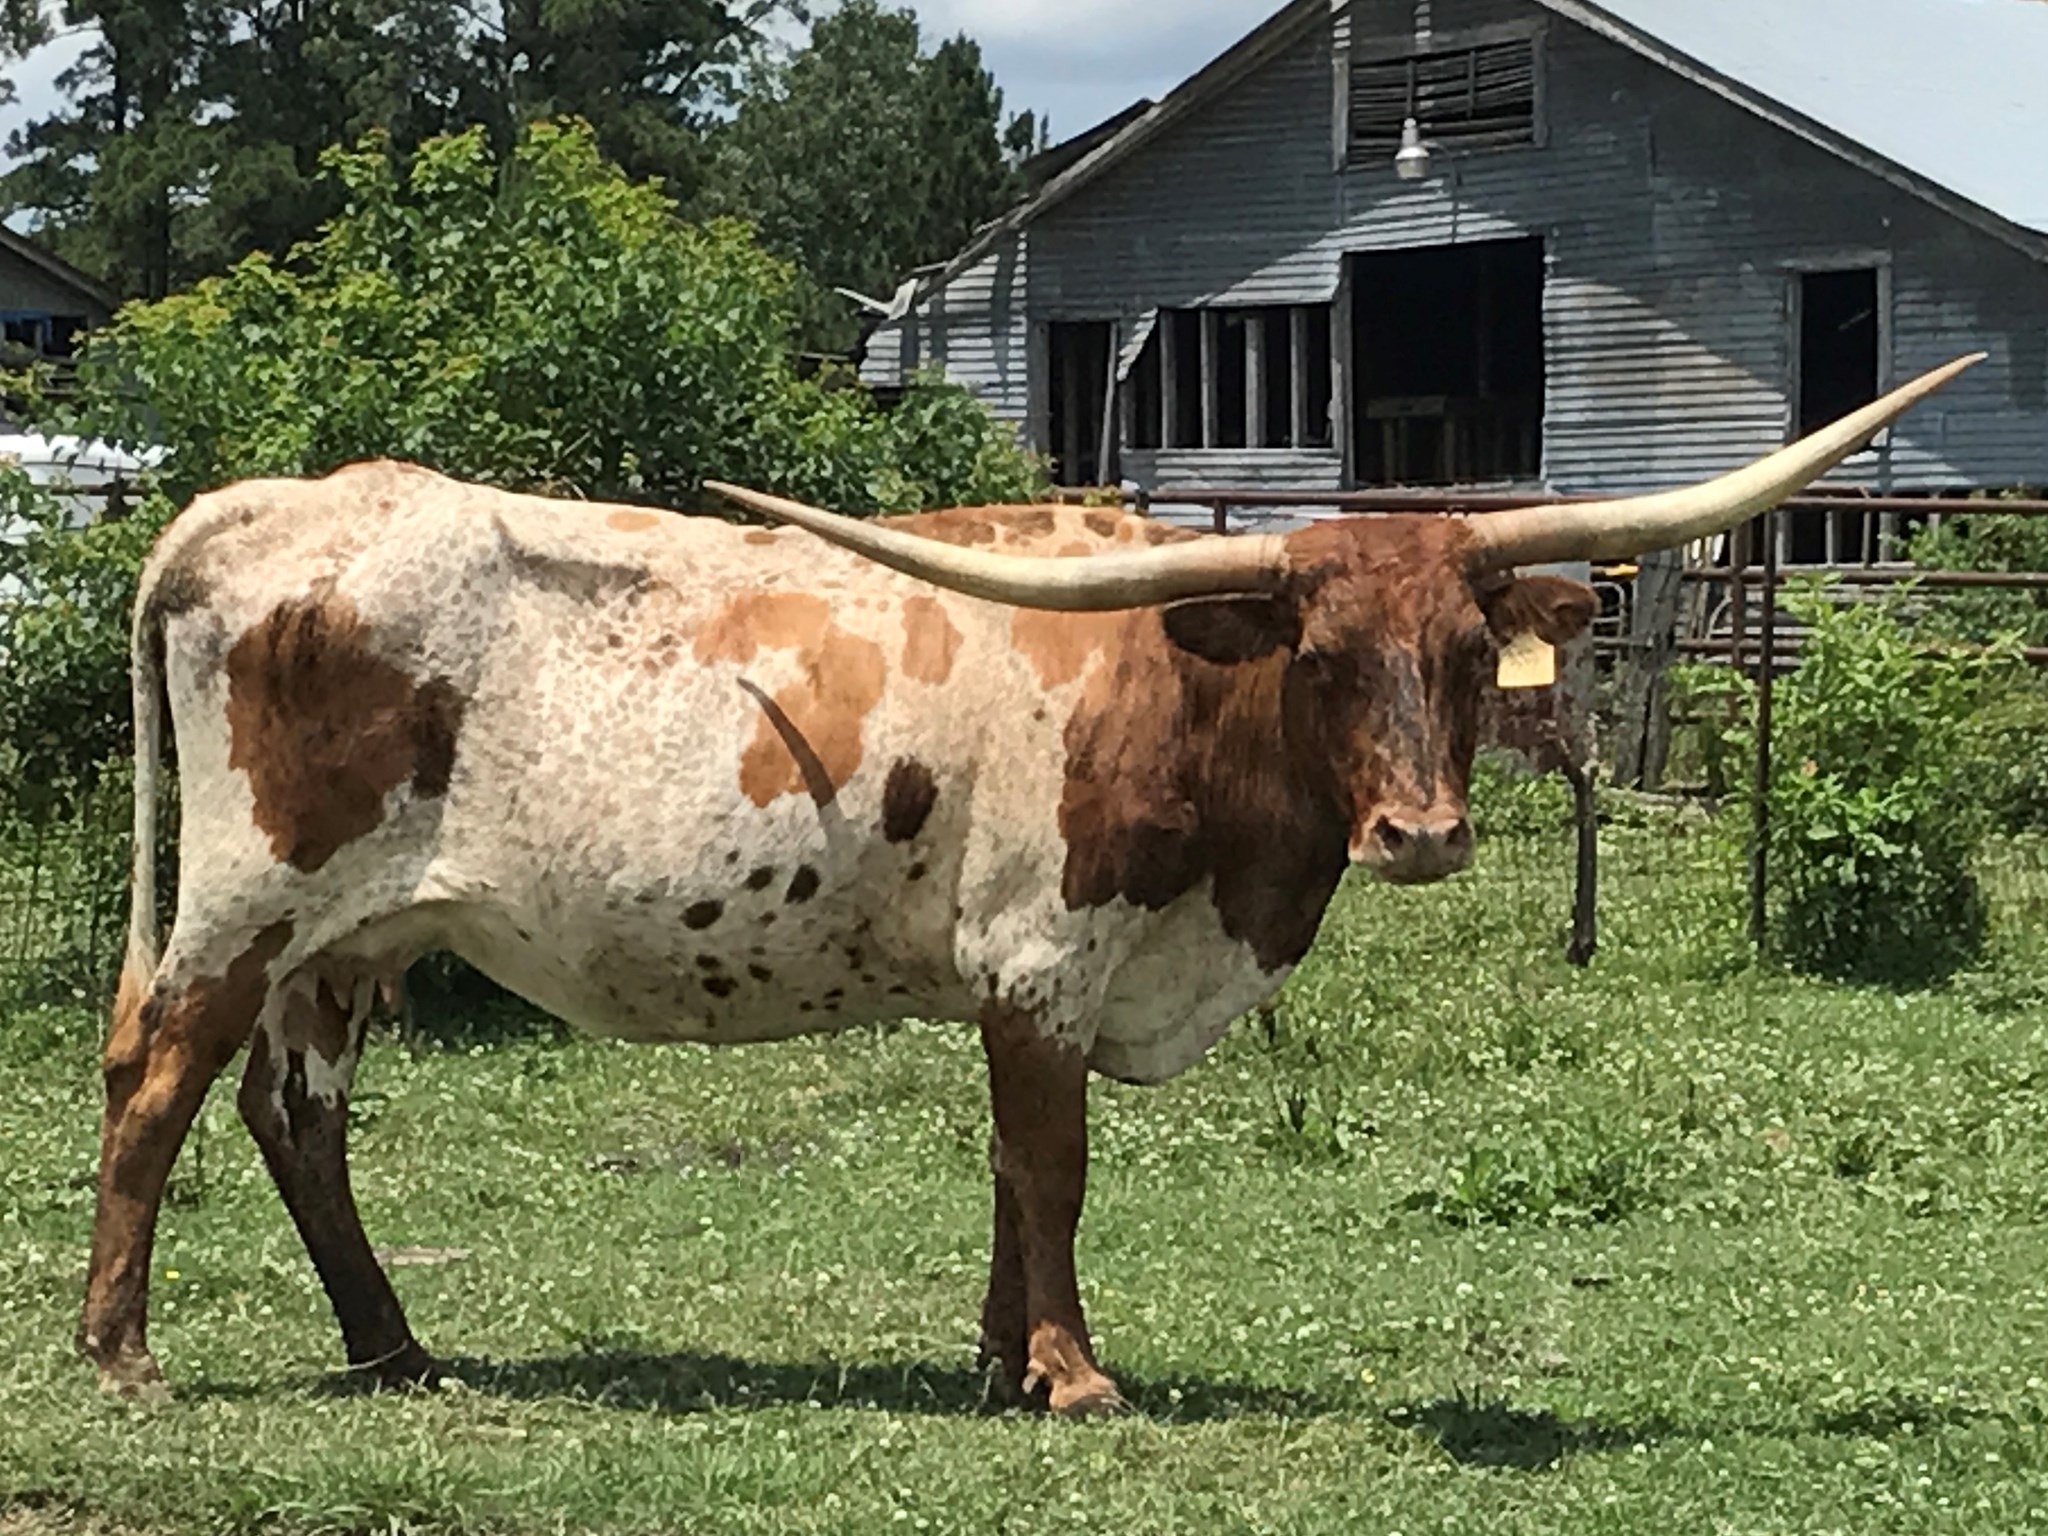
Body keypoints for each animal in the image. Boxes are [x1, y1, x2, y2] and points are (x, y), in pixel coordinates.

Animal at [77, 356, 1976, 1412]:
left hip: (355, 935)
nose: (1423, 835)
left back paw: (392, 1347)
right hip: (246, 901)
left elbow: (1009, 1175)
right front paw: (1069, 1375)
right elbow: (1051, 1171)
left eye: (1456, 658)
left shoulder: (1028, 982)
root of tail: (258, 511)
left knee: (294, 1116)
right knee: (157, 1083)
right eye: (1320, 656)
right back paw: (124, 1352)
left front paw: (1001, 1364)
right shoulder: (1046, 958)